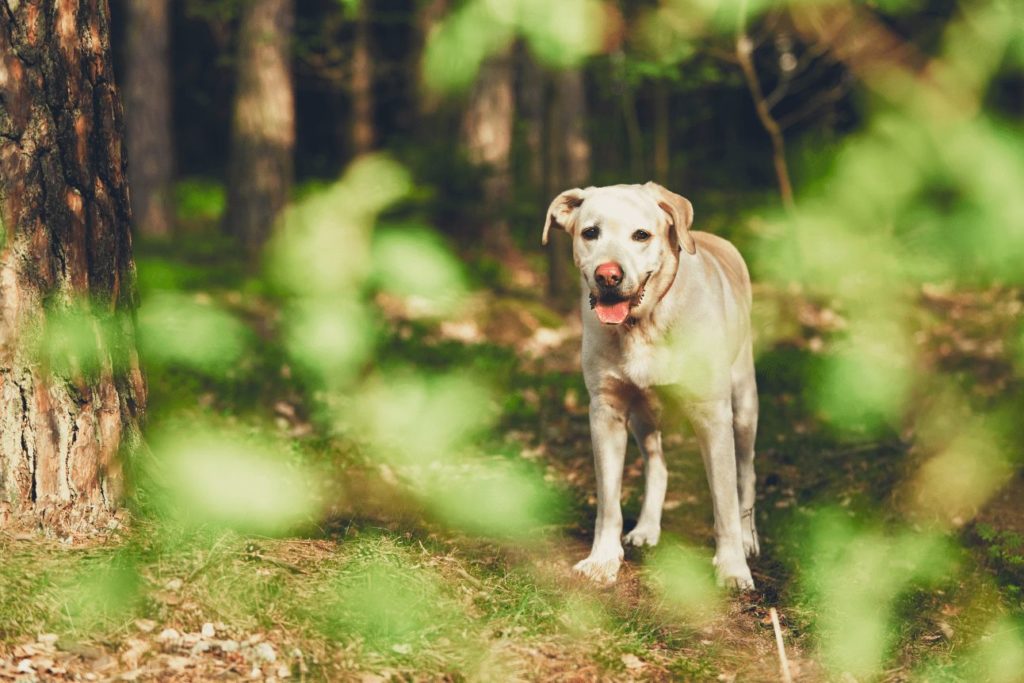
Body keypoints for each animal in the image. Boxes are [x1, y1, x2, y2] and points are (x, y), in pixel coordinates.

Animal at [544, 184, 761, 589]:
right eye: (590, 233)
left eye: (641, 235)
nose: (608, 275)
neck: (644, 323)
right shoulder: (606, 412)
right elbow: (608, 502)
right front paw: (603, 559)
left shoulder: (712, 415)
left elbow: (724, 501)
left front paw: (732, 567)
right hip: (643, 416)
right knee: (657, 466)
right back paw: (646, 529)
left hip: (744, 407)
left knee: (746, 473)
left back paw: (748, 539)